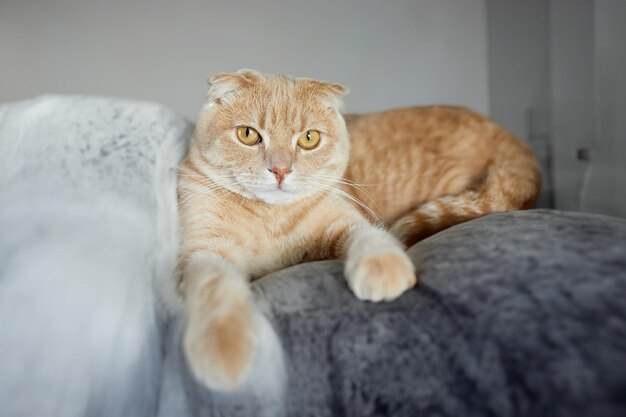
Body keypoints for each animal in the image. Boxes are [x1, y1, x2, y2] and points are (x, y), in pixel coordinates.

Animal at [177, 68, 540, 390]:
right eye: (248, 135)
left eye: (309, 139)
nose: (280, 170)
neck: (271, 218)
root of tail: (513, 139)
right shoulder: (203, 251)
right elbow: (216, 291)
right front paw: (223, 349)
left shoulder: (345, 221)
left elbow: (371, 238)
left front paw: (384, 269)